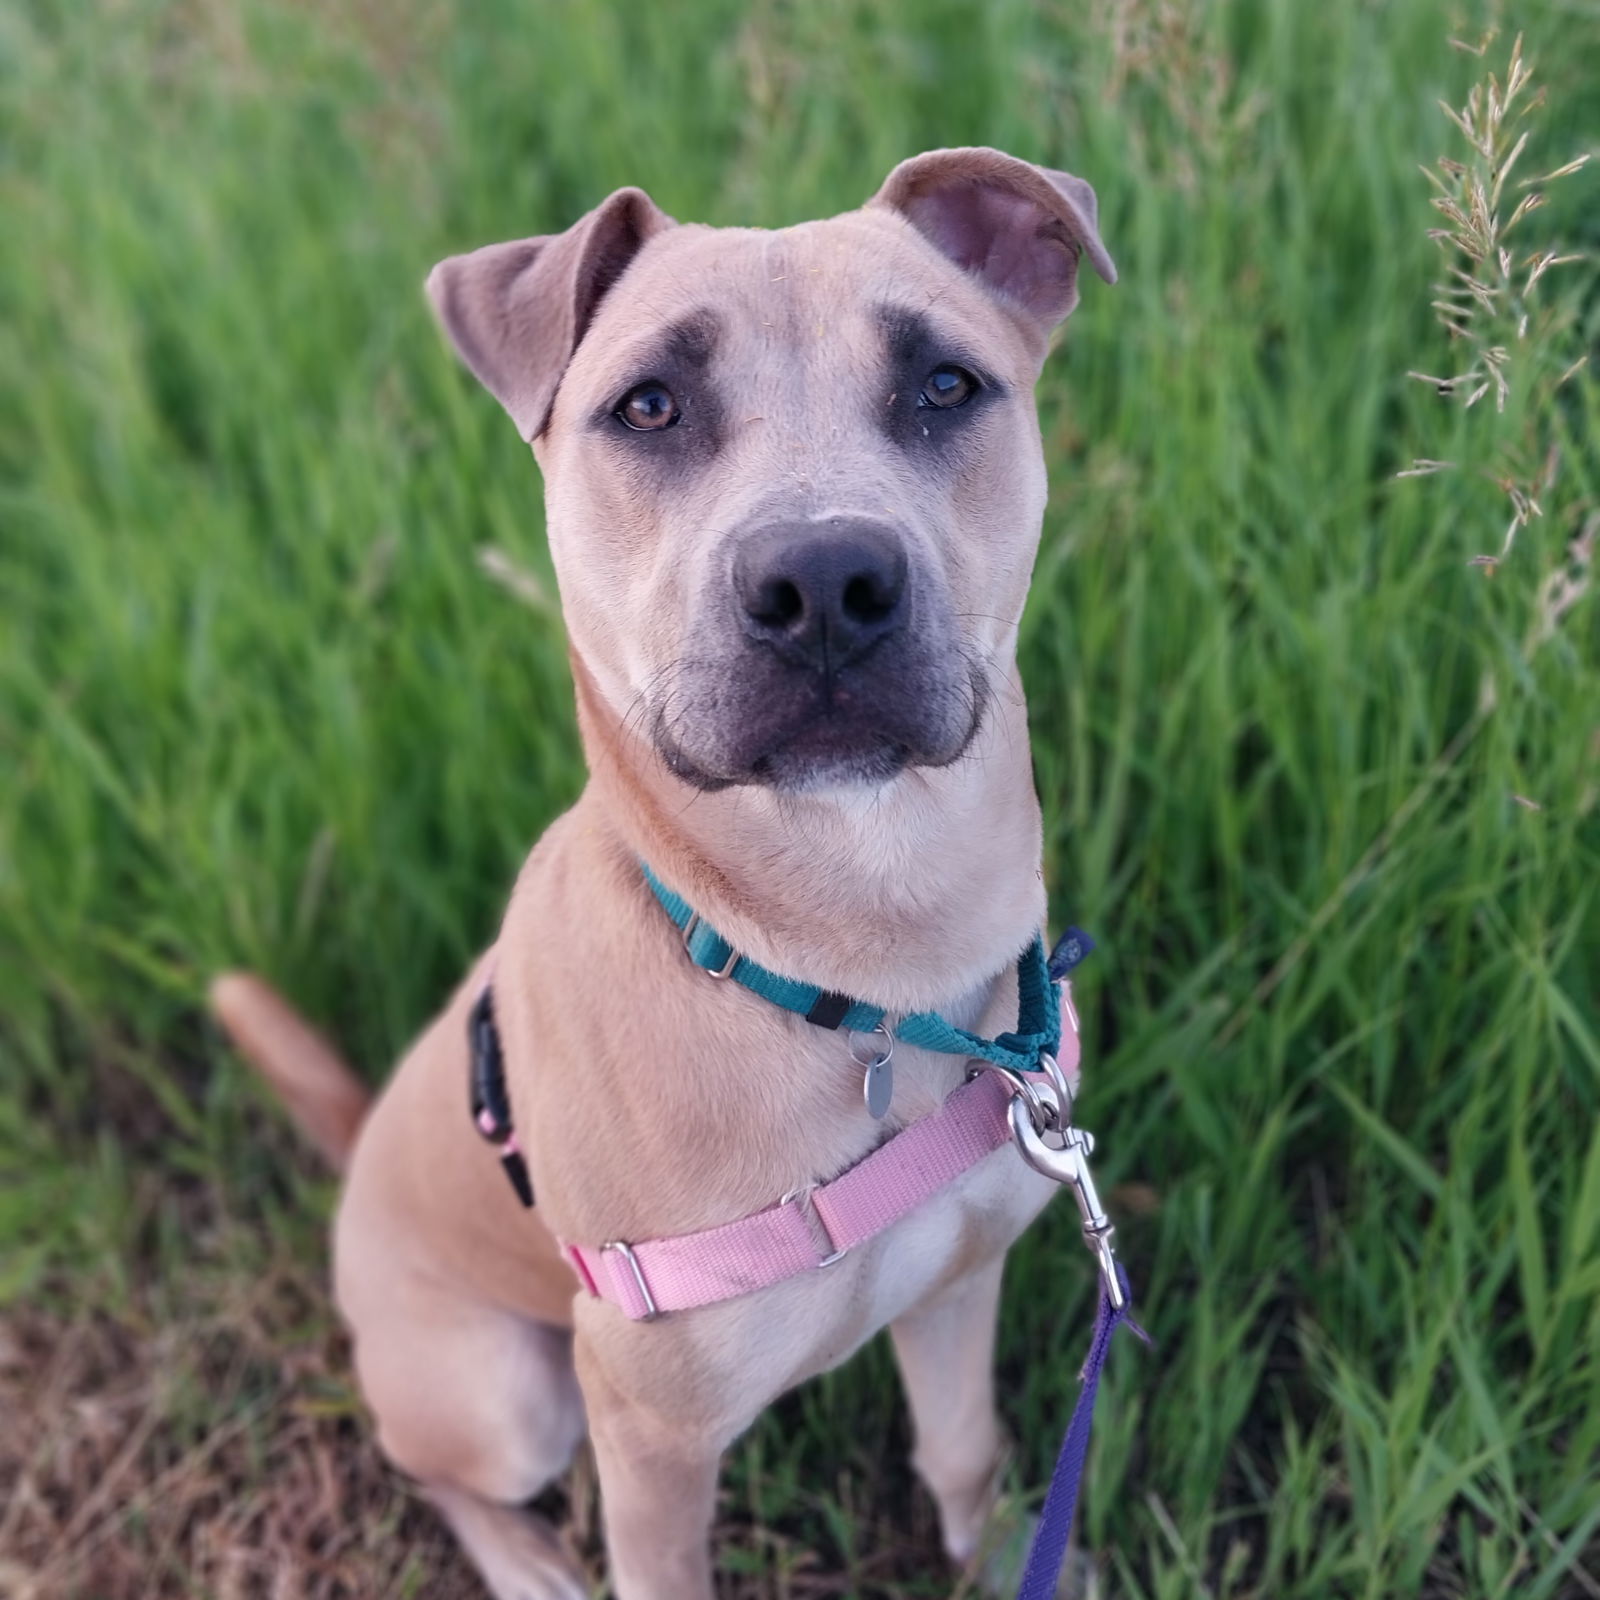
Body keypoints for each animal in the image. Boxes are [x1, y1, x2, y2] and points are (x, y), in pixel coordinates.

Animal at [209, 150, 1113, 1600]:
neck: (853, 966)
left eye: (943, 384)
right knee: (438, 1465)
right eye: (649, 405)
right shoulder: (649, 1437)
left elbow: (965, 1459)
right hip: (508, 1395)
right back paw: (527, 1560)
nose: (824, 580)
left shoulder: (957, 1284)